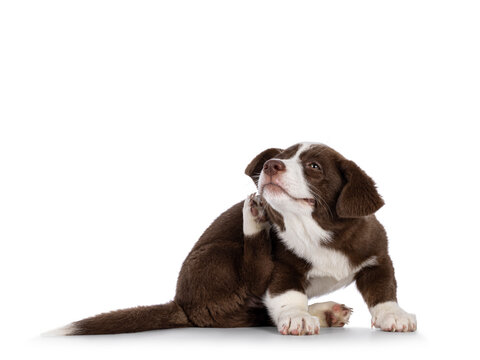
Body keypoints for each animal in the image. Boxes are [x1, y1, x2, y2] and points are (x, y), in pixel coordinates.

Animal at [49, 143, 416, 334]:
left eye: (313, 166)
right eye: (282, 156)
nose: (270, 165)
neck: (317, 231)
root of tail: (183, 304)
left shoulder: (377, 256)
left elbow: (383, 289)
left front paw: (394, 315)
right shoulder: (282, 267)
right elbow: (288, 295)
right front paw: (298, 317)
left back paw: (326, 313)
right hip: (219, 255)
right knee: (249, 280)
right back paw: (253, 220)